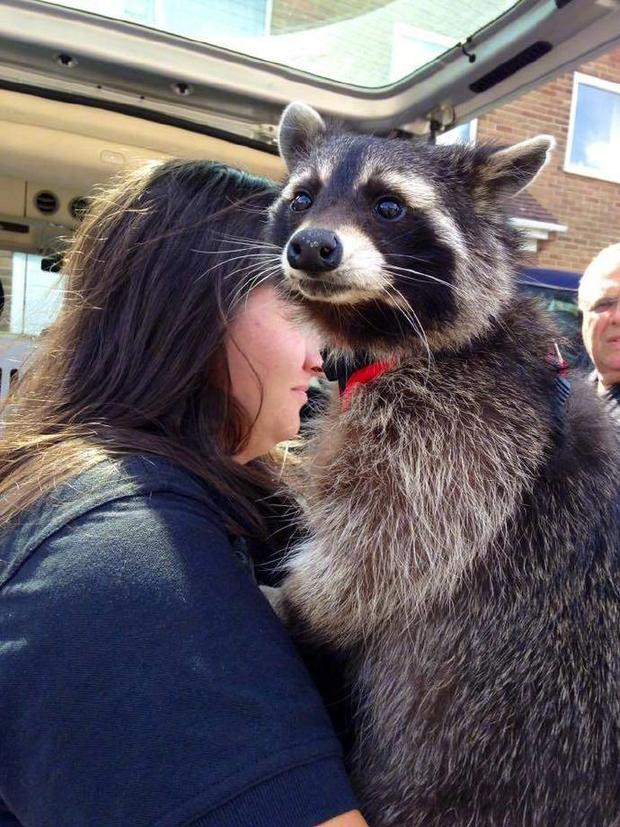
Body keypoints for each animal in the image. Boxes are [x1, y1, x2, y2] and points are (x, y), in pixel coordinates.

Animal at [268, 103, 620, 827]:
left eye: (389, 205)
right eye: (303, 197)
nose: (311, 247)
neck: (381, 330)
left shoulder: (465, 430)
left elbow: (387, 551)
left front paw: (302, 600)